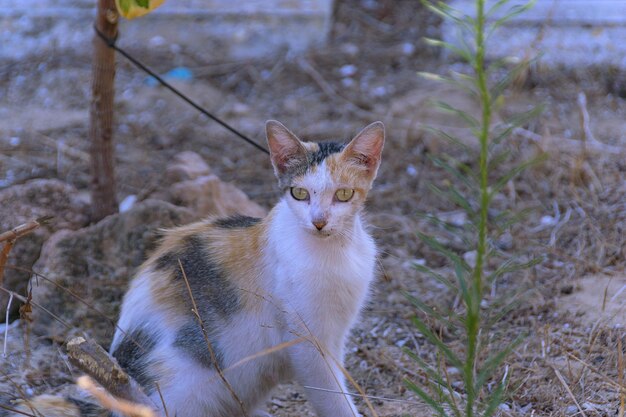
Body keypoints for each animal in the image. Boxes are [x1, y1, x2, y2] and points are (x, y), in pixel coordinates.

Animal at [108, 119, 380, 416]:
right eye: (299, 193)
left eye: (343, 194)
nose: (318, 222)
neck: (335, 251)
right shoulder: (307, 343)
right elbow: (334, 398)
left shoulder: (337, 333)